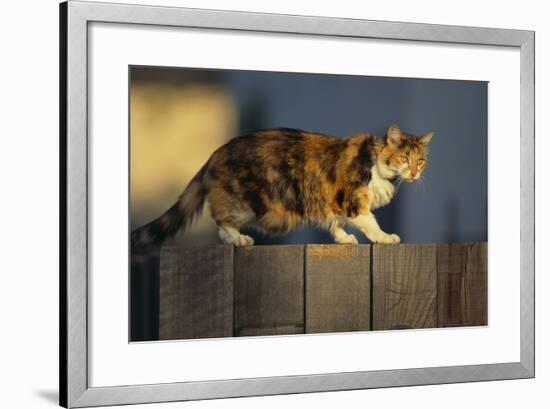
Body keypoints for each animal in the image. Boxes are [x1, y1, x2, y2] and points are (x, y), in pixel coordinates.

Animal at [132, 123, 434, 245]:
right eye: (404, 158)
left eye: (421, 161)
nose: (414, 173)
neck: (376, 164)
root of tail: (215, 154)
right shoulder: (351, 198)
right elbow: (369, 222)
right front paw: (385, 237)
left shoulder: (329, 199)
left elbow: (334, 221)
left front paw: (343, 238)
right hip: (252, 203)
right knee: (220, 218)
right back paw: (239, 239)